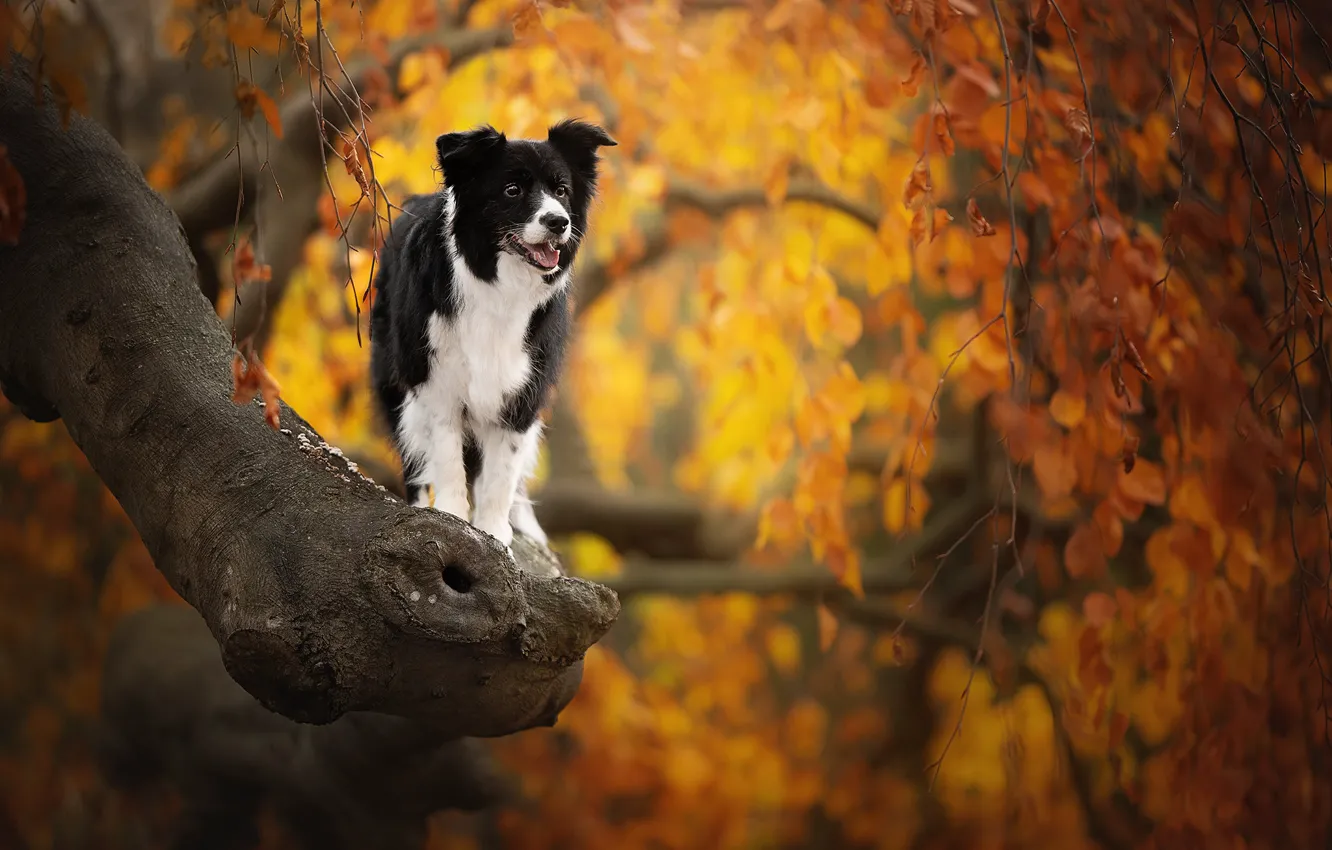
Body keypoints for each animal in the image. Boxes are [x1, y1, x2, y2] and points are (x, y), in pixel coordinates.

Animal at [370, 116, 618, 562]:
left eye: (561, 190)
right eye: (512, 190)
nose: (559, 222)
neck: (500, 285)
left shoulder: (523, 390)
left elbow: (502, 471)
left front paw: (493, 532)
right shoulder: (437, 382)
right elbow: (447, 457)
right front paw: (450, 516)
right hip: (393, 377)